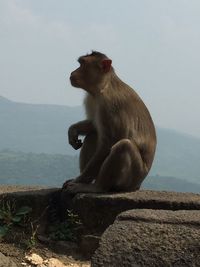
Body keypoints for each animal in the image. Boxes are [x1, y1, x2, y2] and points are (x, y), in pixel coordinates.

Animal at [62, 51, 156, 194]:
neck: (102, 86)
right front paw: (73, 130)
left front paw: (79, 180)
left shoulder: (110, 105)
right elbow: (94, 124)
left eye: (82, 64)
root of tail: (138, 185)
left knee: (123, 146)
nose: (72, 72)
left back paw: (96, 187)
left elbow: (109, 143)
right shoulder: (91, 98)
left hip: (133, 177)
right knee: (93, 135)